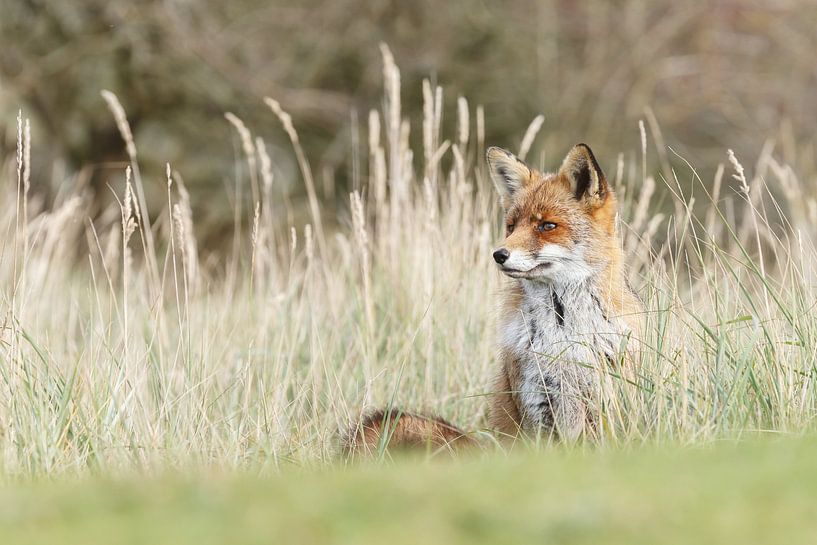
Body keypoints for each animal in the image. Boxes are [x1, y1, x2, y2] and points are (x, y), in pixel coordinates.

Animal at [343, 143, 643, 454]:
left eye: (547, 226)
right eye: (511, 226)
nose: (499, 254)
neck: (562, 333)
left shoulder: (605, 395)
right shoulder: (536, 399)